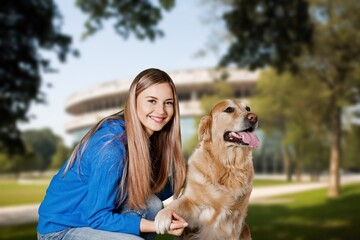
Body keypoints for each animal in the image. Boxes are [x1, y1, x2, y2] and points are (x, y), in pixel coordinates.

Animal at [155, 98, 258, 239]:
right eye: (229, 109)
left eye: (248, 108)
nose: (254, 117)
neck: (227, 165)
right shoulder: (193, 202)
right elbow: (177, 204)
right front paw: (162, 217)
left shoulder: (236, 218)